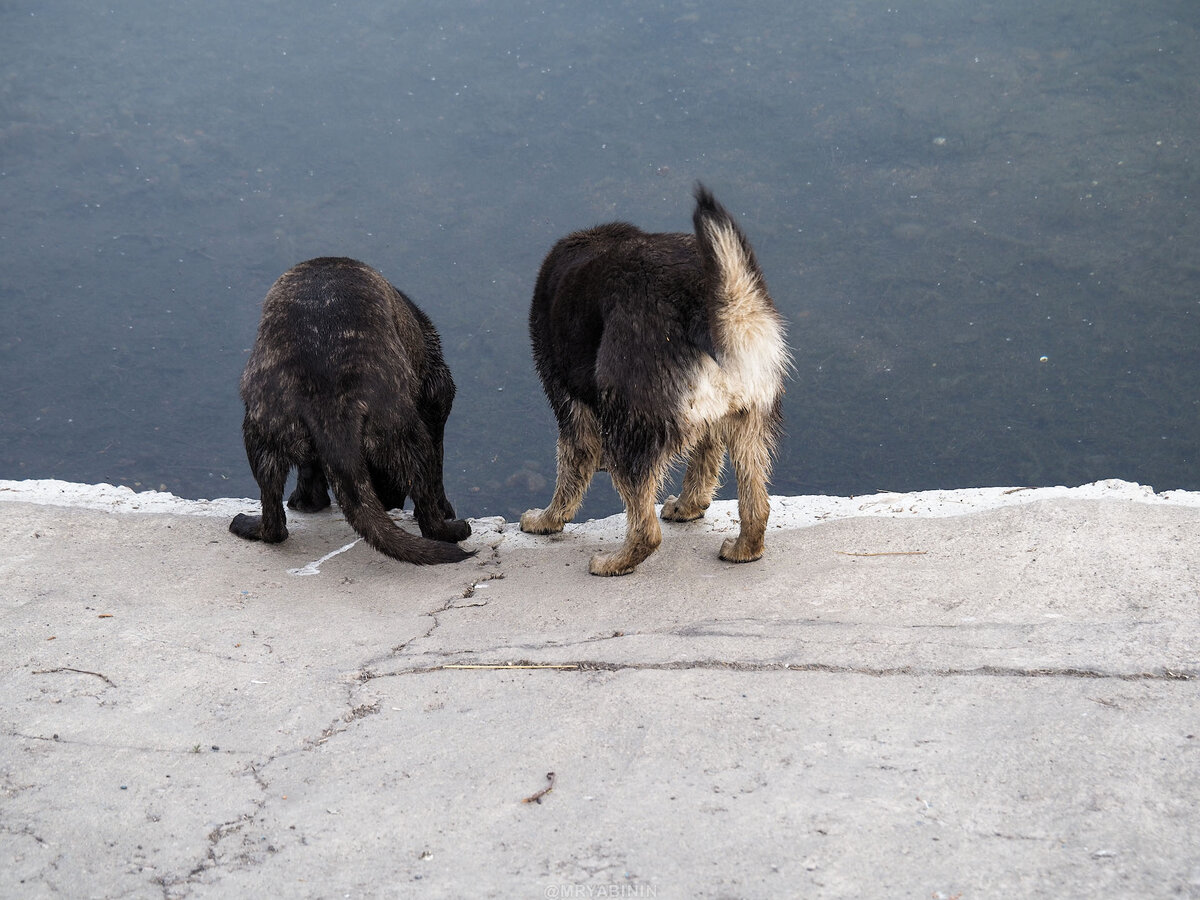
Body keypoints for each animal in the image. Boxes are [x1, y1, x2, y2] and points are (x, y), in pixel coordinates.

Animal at [226, 256, 470, 564]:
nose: (387, 504)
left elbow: (310, 471)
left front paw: (306, 501)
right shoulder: (438, 397)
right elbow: (439, 471)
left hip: (260, 436)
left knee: (274, 520)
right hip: (408, 438)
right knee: (429, 513)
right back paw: (453, 530)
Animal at [523, 184, 787, 578]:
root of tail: (710, 306)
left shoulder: (567, 398)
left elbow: (571, 469)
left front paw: (545, 520)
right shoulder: (712, 422)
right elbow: (705, 461)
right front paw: (690, 506)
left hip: (628, 425)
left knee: (646, 529)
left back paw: (614, 563)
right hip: (750, 420)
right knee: (757, 505)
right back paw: (743, 549)